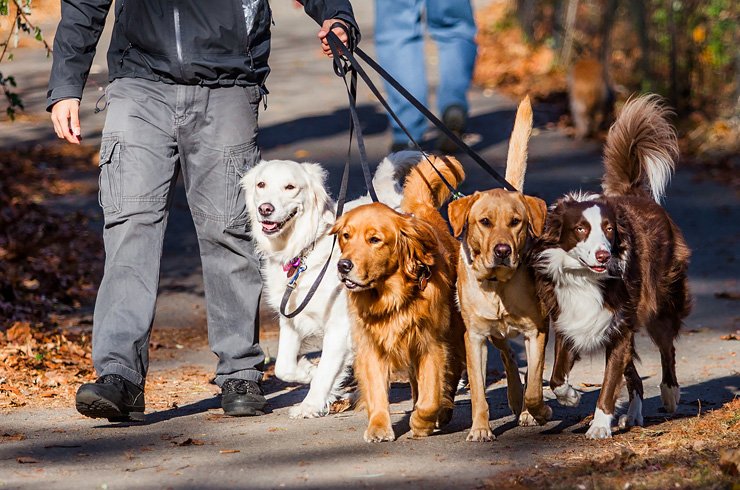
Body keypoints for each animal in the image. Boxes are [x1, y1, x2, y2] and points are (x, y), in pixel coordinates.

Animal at [241, 151, 420, 416]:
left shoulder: (340, 326)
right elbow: (284, 366)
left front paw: (310, 404)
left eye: (290, 187)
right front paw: (308, 371)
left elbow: (326, 371)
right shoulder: (291, 318)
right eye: (261, 184)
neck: (305, 249)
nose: (265, 209)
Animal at [330, 155, 466, 442]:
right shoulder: (371, 346)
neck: (390, 297)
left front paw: (422, 422)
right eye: (346, 235)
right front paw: (379, 426)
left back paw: (443, 412)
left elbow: (430, 396)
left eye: (374, 239)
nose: (343, 266)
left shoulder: (431, 344)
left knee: (451, 374)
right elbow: (377, 390)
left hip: (454, 333)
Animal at [446, 97, 548, 442]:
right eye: (485, 222)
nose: (502, 251)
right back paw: (514, 398)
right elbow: (478, 390)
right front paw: (480, 427)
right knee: (507, 356)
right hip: (495, 335)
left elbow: (536, 382)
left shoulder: (536, 331)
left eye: (516, 222)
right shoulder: (475, 338)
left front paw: (537, 411)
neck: (497, 285)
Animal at [536, 94, 692, 438]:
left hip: (659, 301)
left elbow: (609, 382)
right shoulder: (570, 320)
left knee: (667, 348)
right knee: (634, 376)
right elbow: (556, 376)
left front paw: (598, 425)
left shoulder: (619, 326)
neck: (585, 279)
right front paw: (570, 396)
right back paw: (632, 415)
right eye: (581, 229)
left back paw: (670, 393)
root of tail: (635, 194)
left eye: (609, 229)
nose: (603, 256)